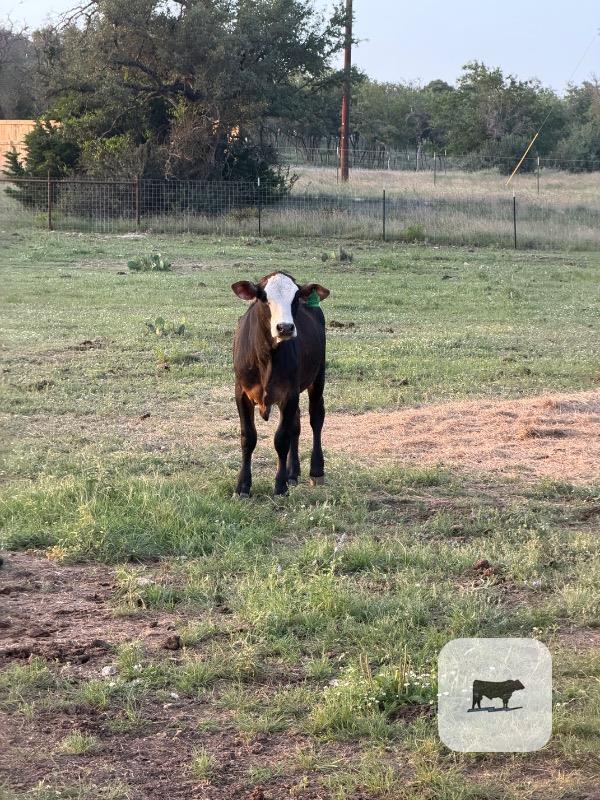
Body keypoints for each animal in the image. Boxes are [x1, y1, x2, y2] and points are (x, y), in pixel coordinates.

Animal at [231, 271, 330, 496]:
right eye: (263, 297)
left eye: (295, 297)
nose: (285, 327)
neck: (266, 356)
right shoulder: (241, 392)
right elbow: (248, 437)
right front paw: (243, 486)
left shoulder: (289, 394)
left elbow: (281, 438)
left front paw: (280, 485)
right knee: (296, 424)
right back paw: (293, 473)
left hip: (318, 376)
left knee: (316, 417)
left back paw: (315, 471)